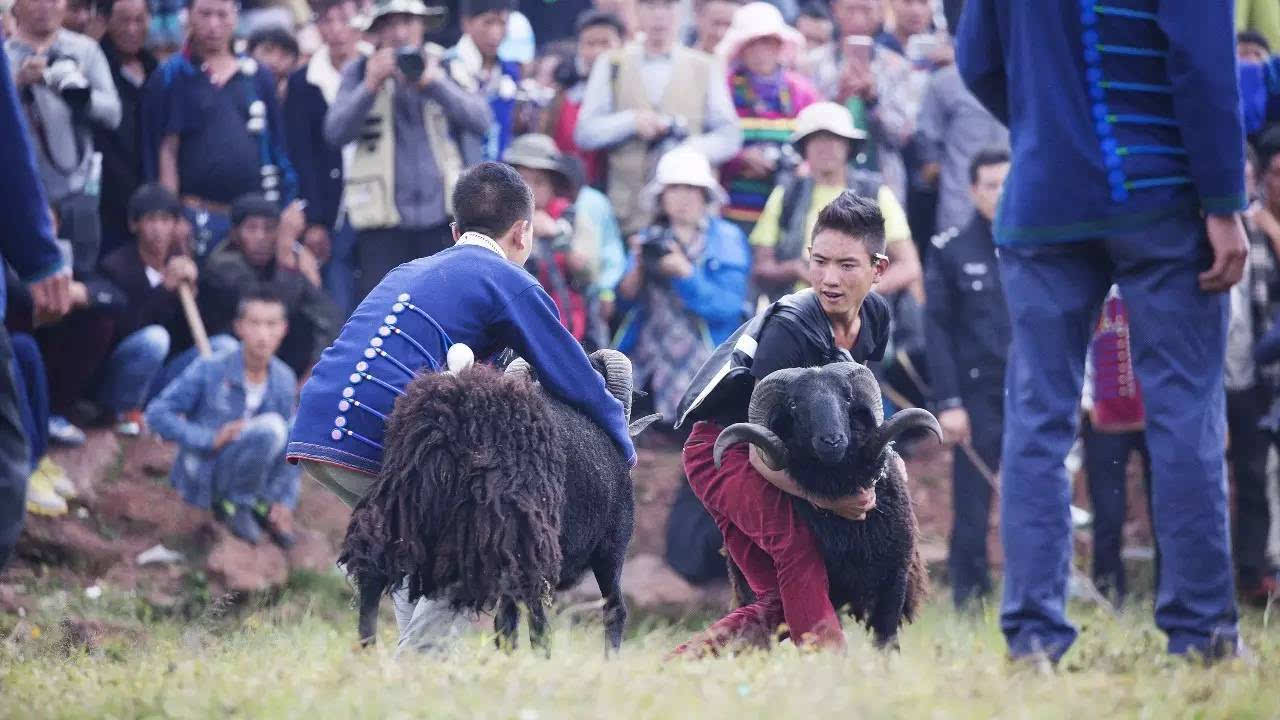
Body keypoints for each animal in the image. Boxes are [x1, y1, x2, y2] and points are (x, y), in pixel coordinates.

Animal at [340, 348, 660, 650]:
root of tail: (445, 426)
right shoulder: (611, 544)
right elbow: (603, 612)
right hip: (519, 536)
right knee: (589, 614)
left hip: (400, 503)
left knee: (373, 572)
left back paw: (368, 649)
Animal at [716, 361, 947, 648]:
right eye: (794, 404)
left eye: (847, 397)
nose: (832, 440)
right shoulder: (825, 590)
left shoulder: (895, 579)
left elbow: (886, 640)